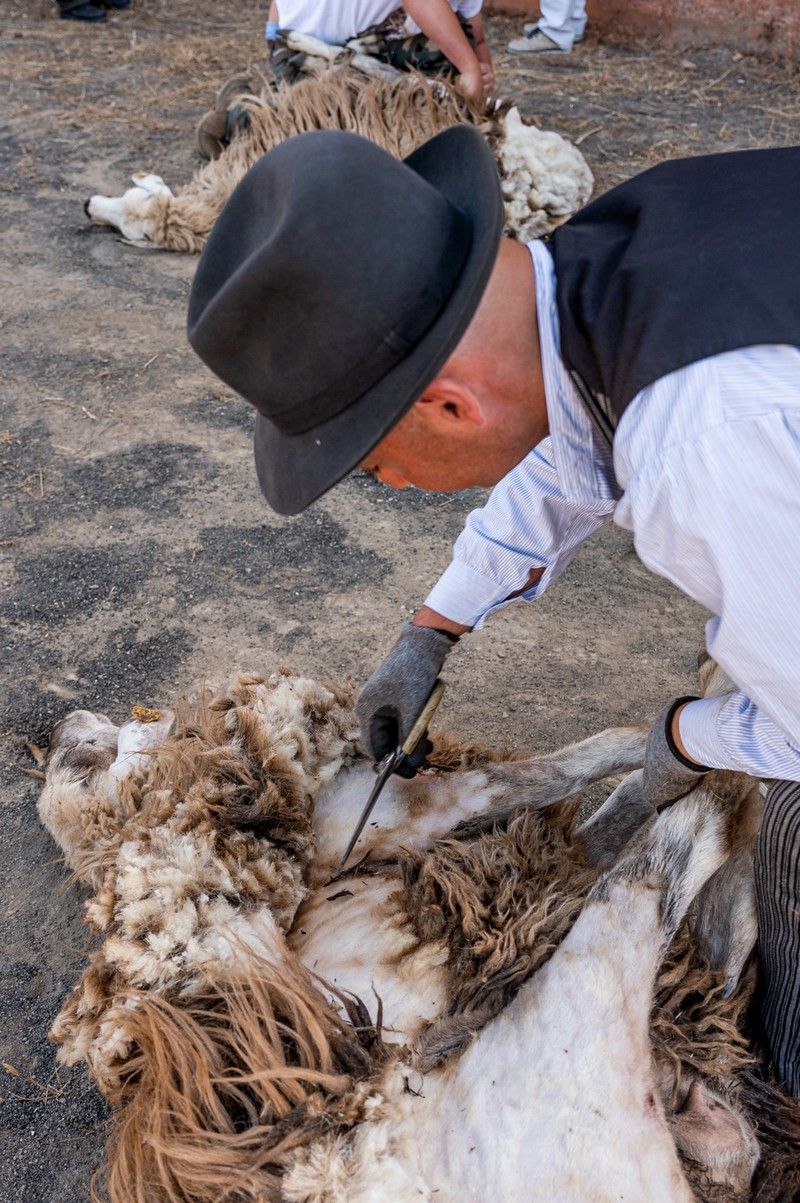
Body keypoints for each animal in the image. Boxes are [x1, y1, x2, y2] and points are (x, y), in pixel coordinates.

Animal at [34, 664, 793, 1198]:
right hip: (571, 1033)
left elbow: (584, 809)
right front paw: (661, 750)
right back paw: (728, 729)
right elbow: (548, 777)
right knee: (677, 851)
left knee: (721, 922)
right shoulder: (385, 813)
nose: (60, 727)